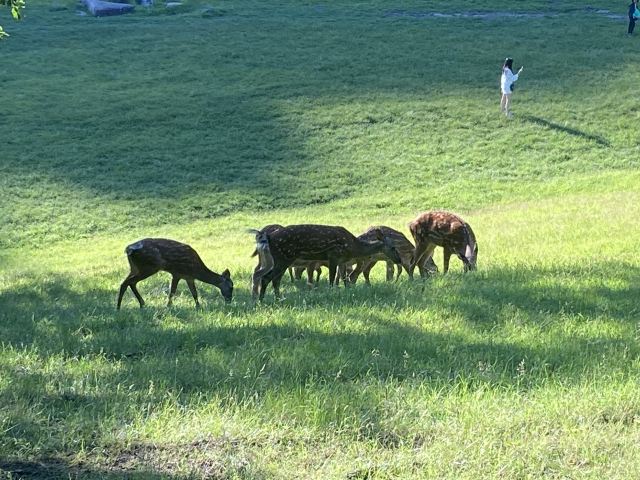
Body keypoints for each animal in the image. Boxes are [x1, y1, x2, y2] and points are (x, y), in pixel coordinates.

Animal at [256, 224, 402, 300]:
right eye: (393, 247)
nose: (399, 259)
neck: (352, 246)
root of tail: (269, 238)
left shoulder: (341, 260)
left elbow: (343, 277)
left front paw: (344, 291)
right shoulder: (334, 255)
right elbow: (332, 278)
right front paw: (331, 293)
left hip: (281, 259)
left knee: (274, 279)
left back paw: (277, 298)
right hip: (283, 257)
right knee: (267, 277)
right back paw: (262, 300)